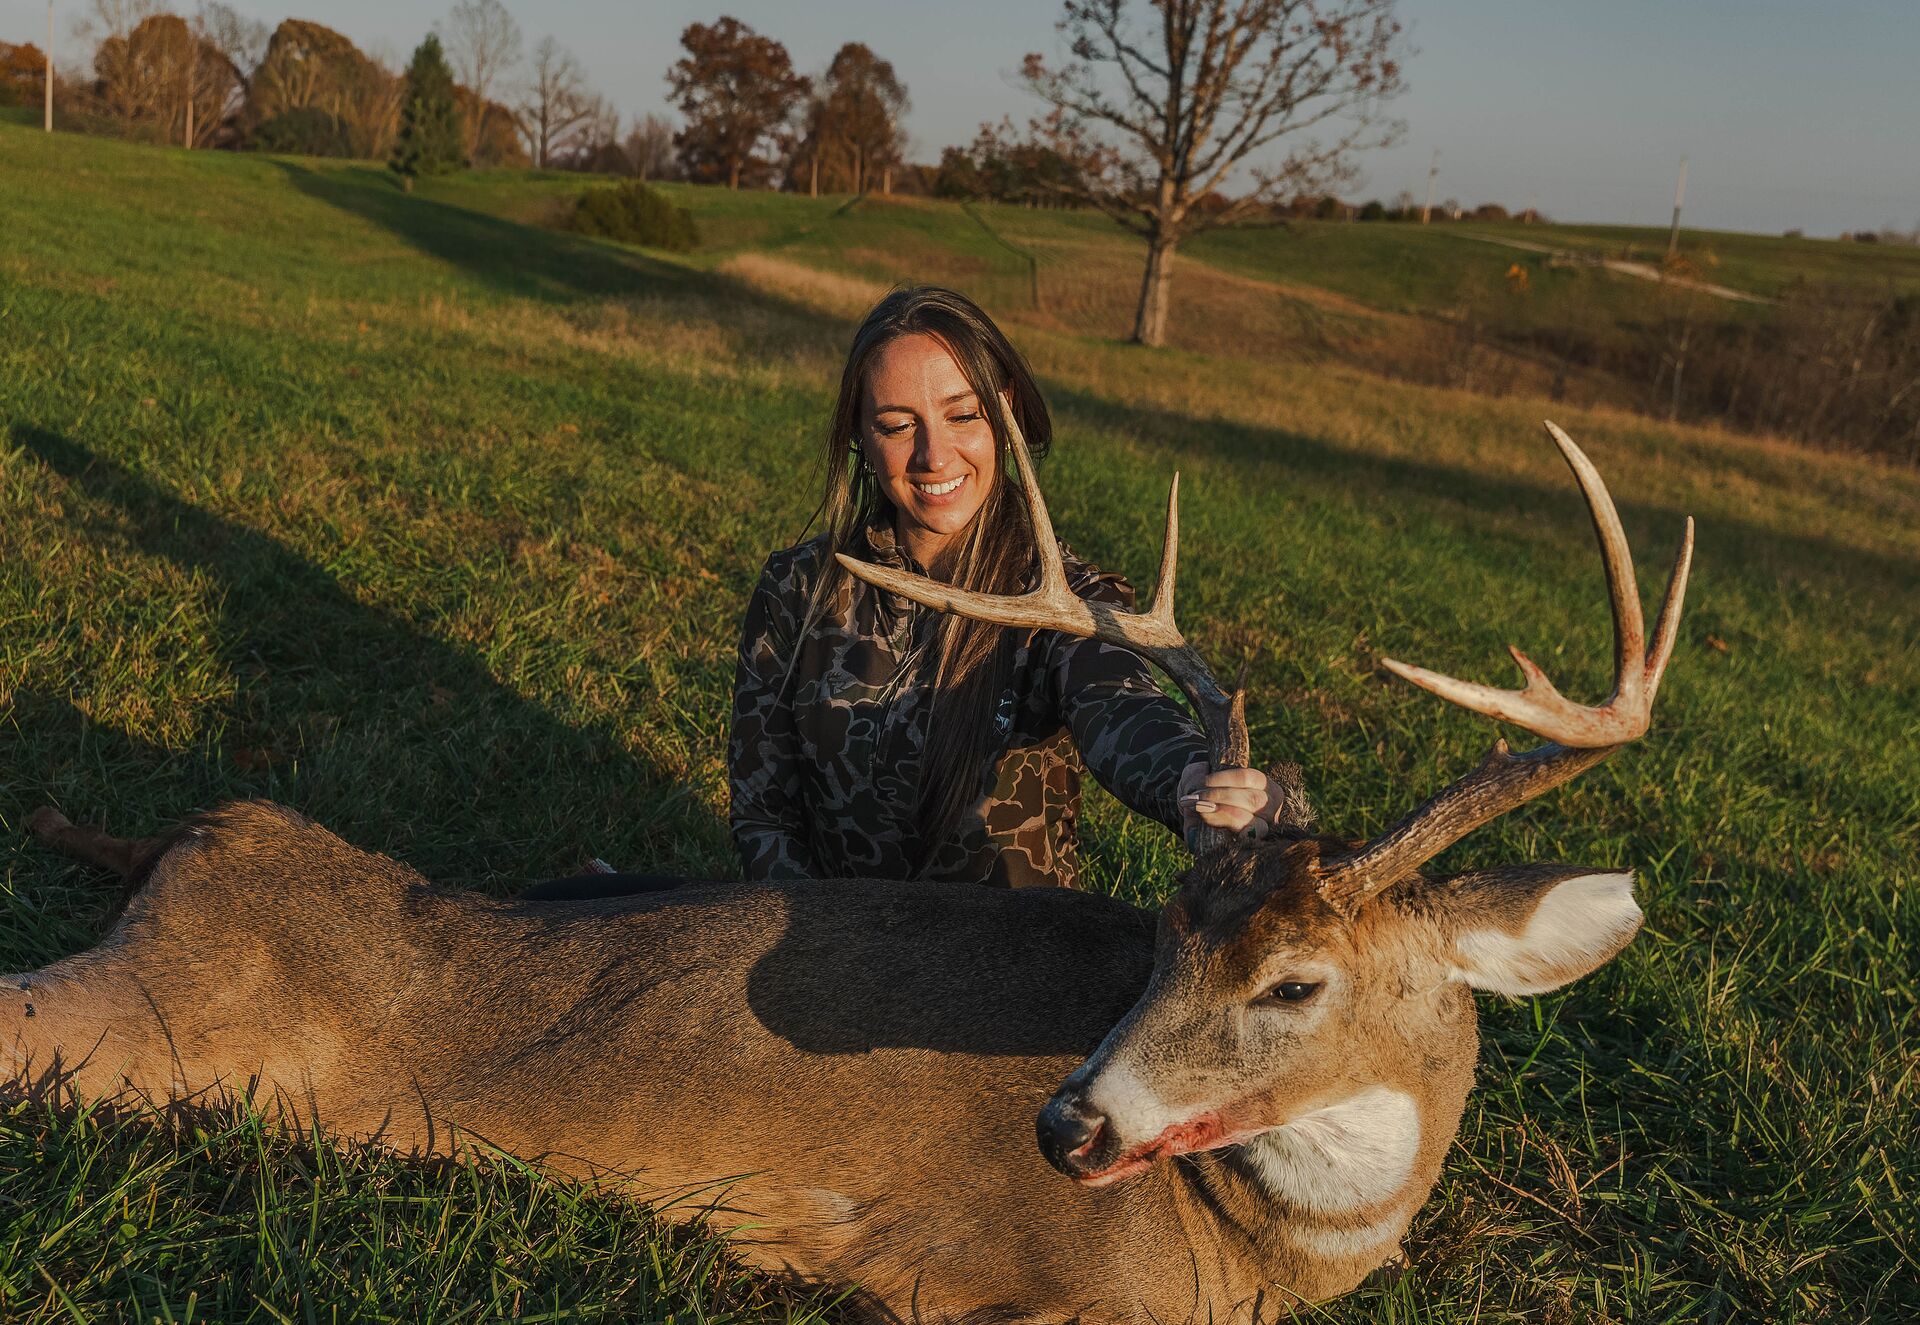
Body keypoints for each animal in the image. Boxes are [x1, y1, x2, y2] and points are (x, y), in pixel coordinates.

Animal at [5, 421, 1691, 1323]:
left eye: (1292, 979)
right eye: (1164, 937)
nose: (1066, 1124)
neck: (1254, 1247)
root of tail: (202, 838)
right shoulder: (990, 1283)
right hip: (155, 1023)